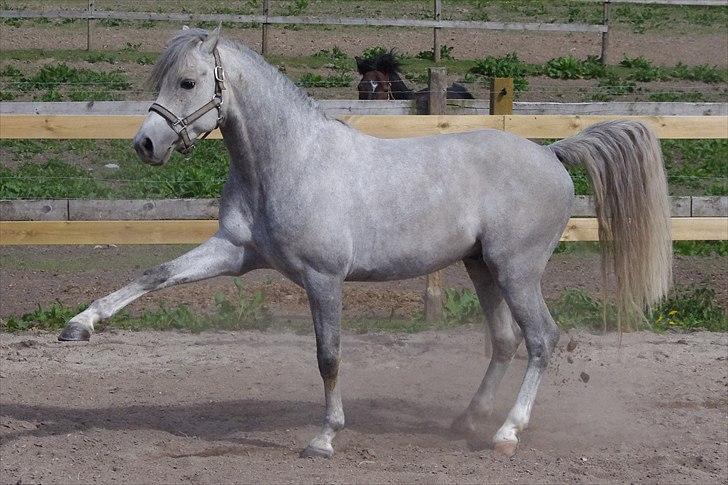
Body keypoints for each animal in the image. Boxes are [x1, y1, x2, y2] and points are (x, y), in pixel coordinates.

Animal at [58, 27, 672, 459]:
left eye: (187, 83)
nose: (145, 144)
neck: (290, 161)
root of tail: (552, 154)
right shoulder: (234, 253)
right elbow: (154, 275)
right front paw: (79, 326)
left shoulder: (323, 278)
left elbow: (328, 356)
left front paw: (323, 438)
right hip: (481, 267)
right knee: (505, 340)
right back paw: (466, 422)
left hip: (516, 269)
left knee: (543, 339)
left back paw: (505, 434)